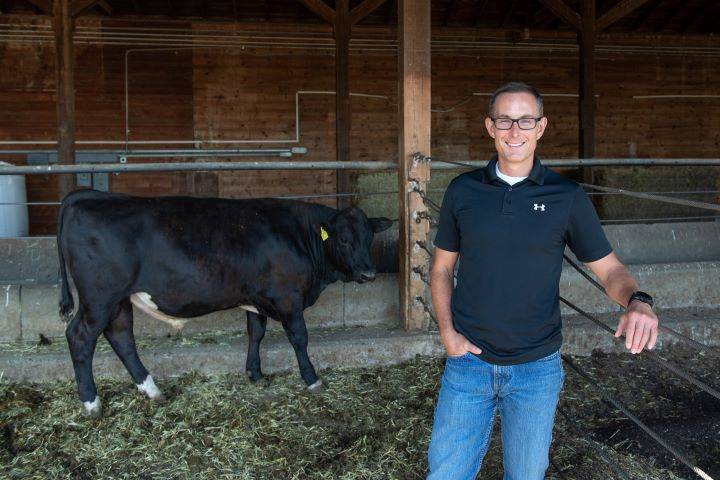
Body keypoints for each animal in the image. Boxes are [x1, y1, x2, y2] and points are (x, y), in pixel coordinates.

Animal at [57, 189, 392, 418]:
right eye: (344, 240)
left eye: (369, 238)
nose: (369, 273)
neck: (299, 236)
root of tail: (89, 195)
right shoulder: (288, 299)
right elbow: (299, 338)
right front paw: (312, 379)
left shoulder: (257, 298)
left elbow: (256, 333)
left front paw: (254, 374)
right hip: (100, 297)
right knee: (81, 337)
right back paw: (91, 402)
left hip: (118, 300)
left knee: (121, 336)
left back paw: (152, 389)